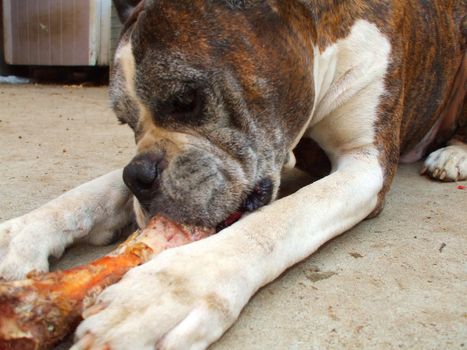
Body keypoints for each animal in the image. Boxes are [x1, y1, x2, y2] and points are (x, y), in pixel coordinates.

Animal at [0, 0, 466, 350]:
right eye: (126, 123)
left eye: (186, 100)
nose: (139, 176)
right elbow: (92, 193)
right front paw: (22, 233)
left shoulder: (365, 161)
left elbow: (278, 220)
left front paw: (168, 291)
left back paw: (452, 155)